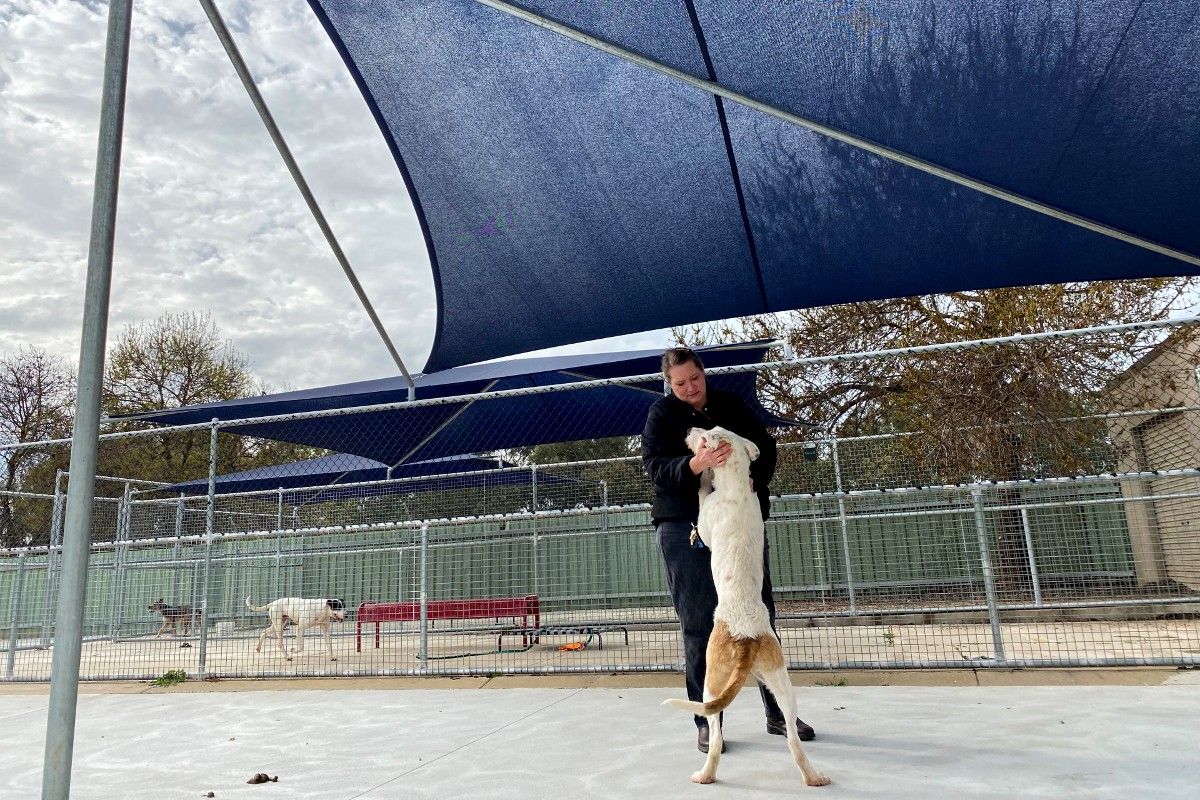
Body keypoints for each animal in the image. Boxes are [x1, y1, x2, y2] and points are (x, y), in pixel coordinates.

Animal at [662, 424, 830, 786]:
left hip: (712, 681)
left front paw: (702, 476)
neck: (737, 485)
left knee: (715, 736)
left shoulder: (706, 520)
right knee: (793, 740)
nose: (690, 428)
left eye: (706, 433)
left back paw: (704, 775)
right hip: (782, 683)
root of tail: (746, 637)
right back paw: (814, 777)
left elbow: (701, 502)